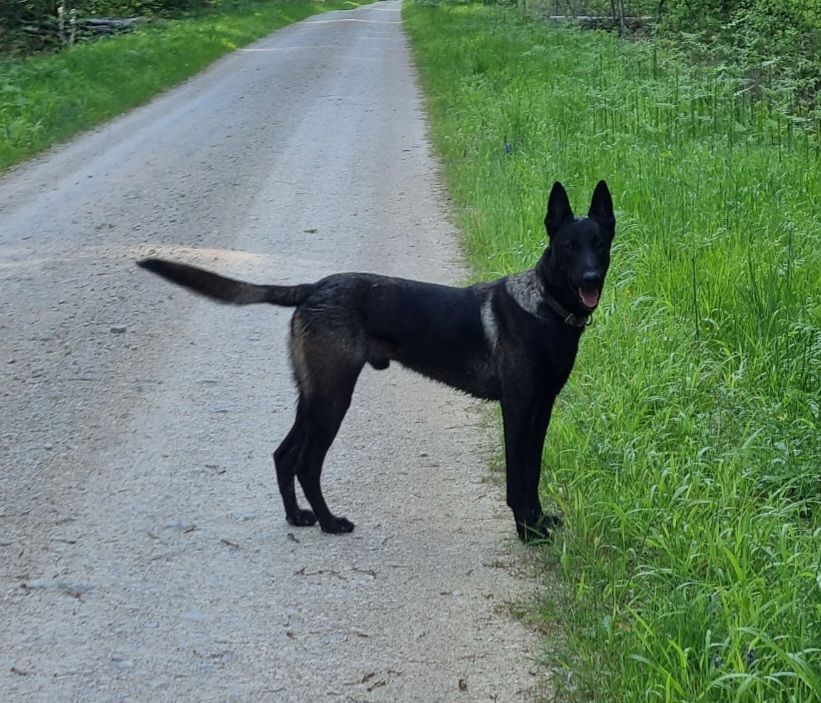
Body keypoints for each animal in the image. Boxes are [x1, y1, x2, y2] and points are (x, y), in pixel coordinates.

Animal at [136, 179, 616, 540]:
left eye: (599, 243)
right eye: (568, 247)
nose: (591, 278)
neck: (547, 308)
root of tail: (313, 288)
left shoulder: (541, 409)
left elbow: (532, 472)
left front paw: (538, 522)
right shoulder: (517, 410)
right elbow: (518, 477)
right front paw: (527, 533)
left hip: (313, 398)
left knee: (283, 455)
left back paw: (298, 517)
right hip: (333, 399)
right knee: (307, 464)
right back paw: (330, 523)